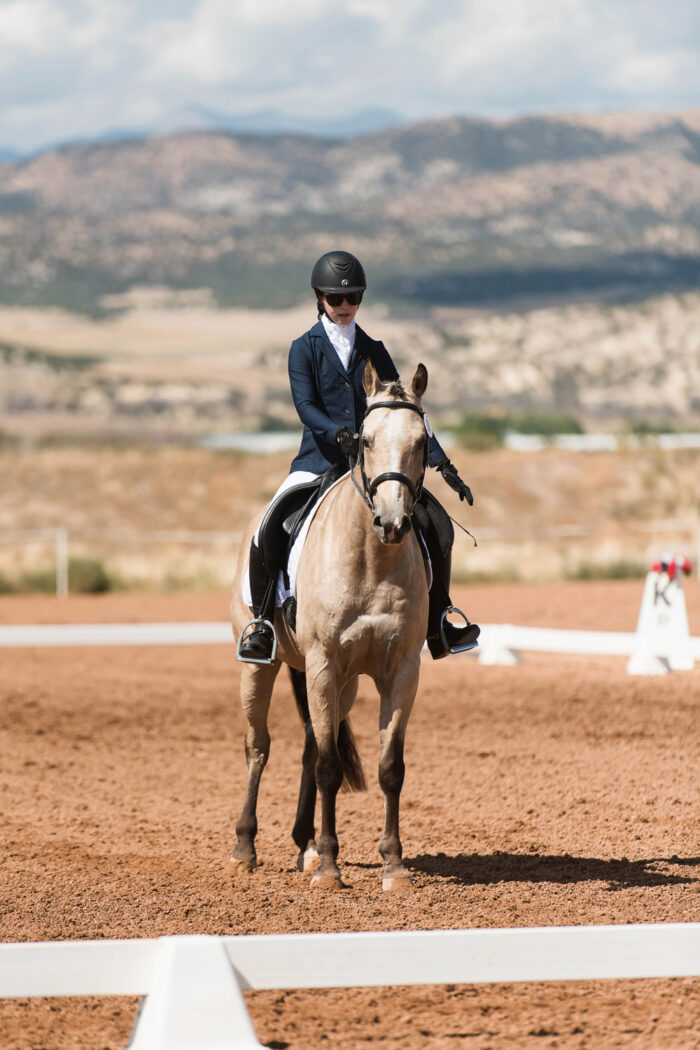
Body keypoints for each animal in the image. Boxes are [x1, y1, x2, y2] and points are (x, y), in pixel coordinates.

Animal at [229, 359, 432, 891]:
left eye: (423, 441)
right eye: (365, 440)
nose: (393, 524)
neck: (373, 558)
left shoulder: (401, 670)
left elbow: (389, 767)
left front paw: (393, 865)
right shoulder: (322, 663)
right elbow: (328, 767)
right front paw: (331, 869)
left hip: (344, 683)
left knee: (307, 742)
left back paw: (305, 846)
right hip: (262, 666)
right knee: (258, 746)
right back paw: (245, 847)